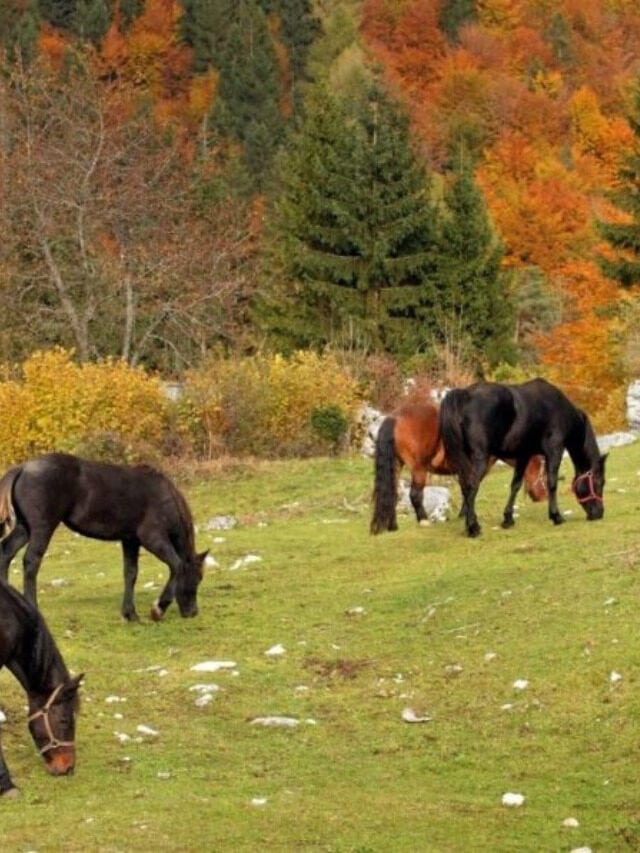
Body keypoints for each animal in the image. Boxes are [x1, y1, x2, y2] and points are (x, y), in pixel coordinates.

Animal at [0, 453, 208, 622]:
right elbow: (176, 565)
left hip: (25, 527)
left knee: (6, 552)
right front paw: (158, 608)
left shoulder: (130, 541)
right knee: (31, 561)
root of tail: (23, 467)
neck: (163, 495)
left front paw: (130, 613)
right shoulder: (152, 539)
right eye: (197, 579)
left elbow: (131, 573)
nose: (193, 612)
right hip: (42, 528)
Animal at [370, 400, 547, 534]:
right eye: (542, 471)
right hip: (419, 469)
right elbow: (470, 489)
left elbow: (465, 489)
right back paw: (424, 520)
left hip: (397, 466)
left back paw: (393, 525)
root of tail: (394, 417)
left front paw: (463, 514)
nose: (543, 496)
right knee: (415, 494)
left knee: (393, 493)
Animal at [439, 378, 606, 537]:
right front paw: (556, 516)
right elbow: (552, 483)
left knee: (464, 487)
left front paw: (508, 519)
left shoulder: (523, 455)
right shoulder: (554, 451)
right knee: (471, 486)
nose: (599, 513)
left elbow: (516, 485)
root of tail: (465, 395)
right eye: (599, 482)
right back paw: (473, 527)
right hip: (481, 459)